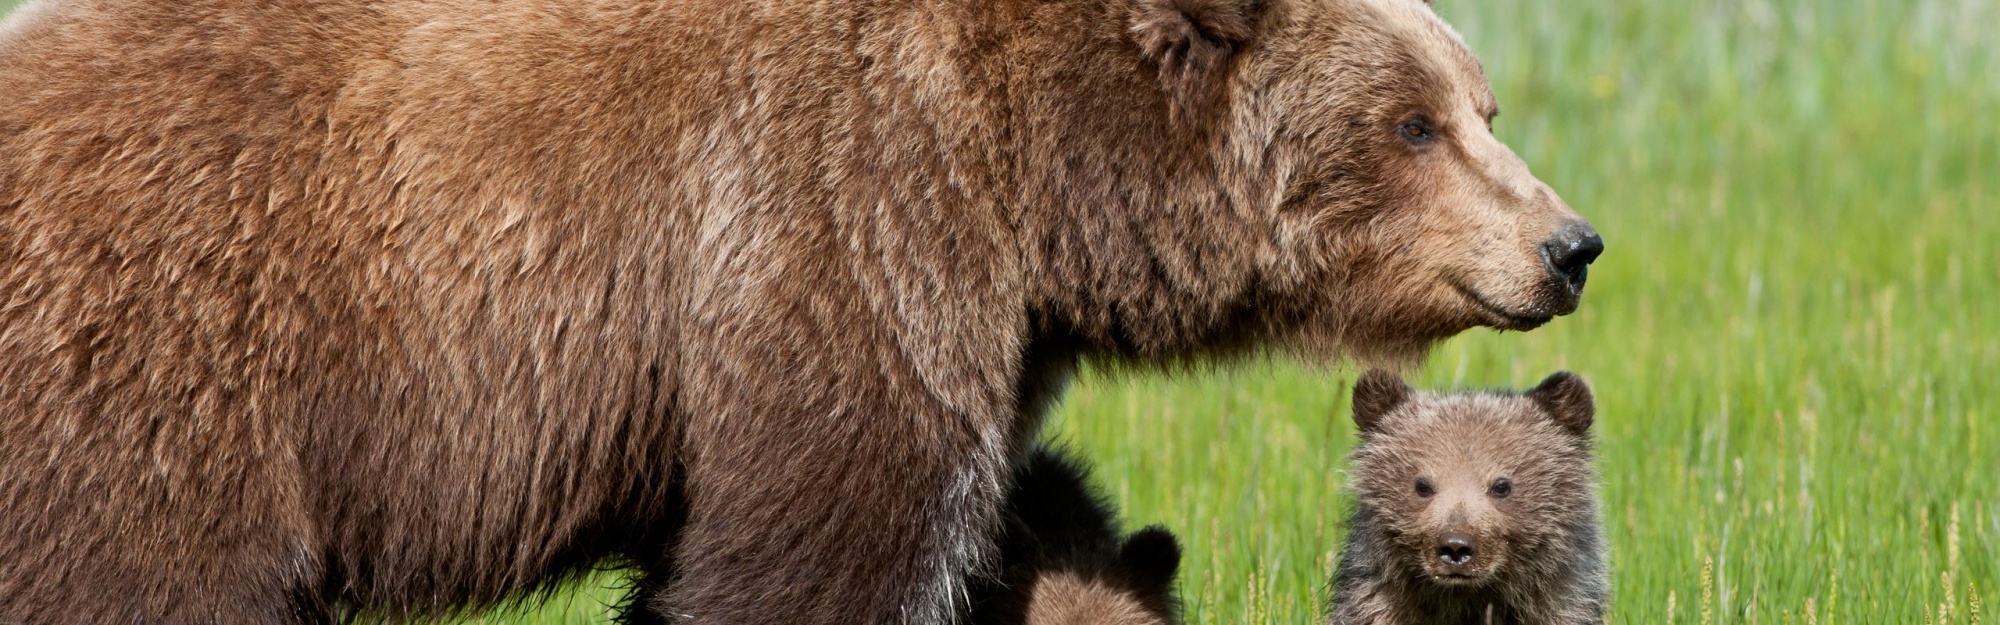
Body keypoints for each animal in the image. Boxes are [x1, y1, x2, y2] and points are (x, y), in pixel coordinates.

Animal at [0, 0, 1592, 620]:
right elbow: (827, 535)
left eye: (1483, 102)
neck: (1030, 176)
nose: (1568, 243)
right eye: (1411, 123)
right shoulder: (834, 227)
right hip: (173, 376)